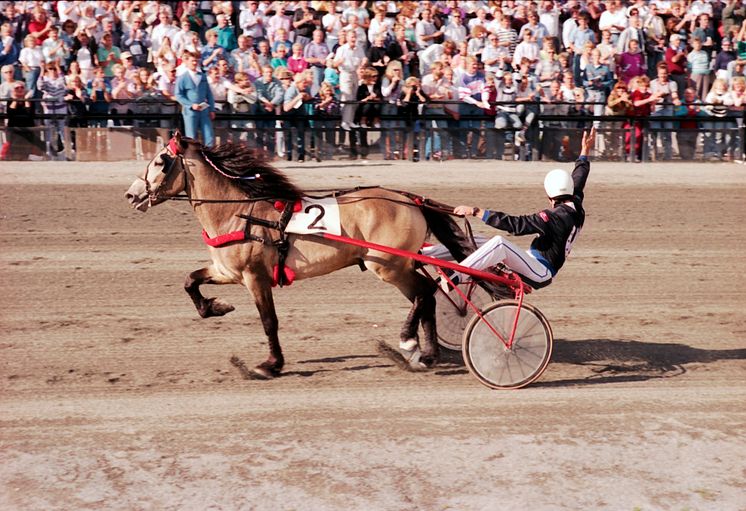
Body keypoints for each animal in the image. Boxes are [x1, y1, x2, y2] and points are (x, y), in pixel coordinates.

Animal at [123, 134, 470, 378]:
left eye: (161, 161)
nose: (131, 194)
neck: (238, 214)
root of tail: (409, 199)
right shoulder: (227, 271)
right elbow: (189, 281)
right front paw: (215, 307)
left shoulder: (255, 277)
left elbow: (268, 321)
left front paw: (270, 364)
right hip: (400, 263)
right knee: (428, 296)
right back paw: (428, 355)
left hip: (388, 266)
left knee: (425, 293)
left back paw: (408, 343)